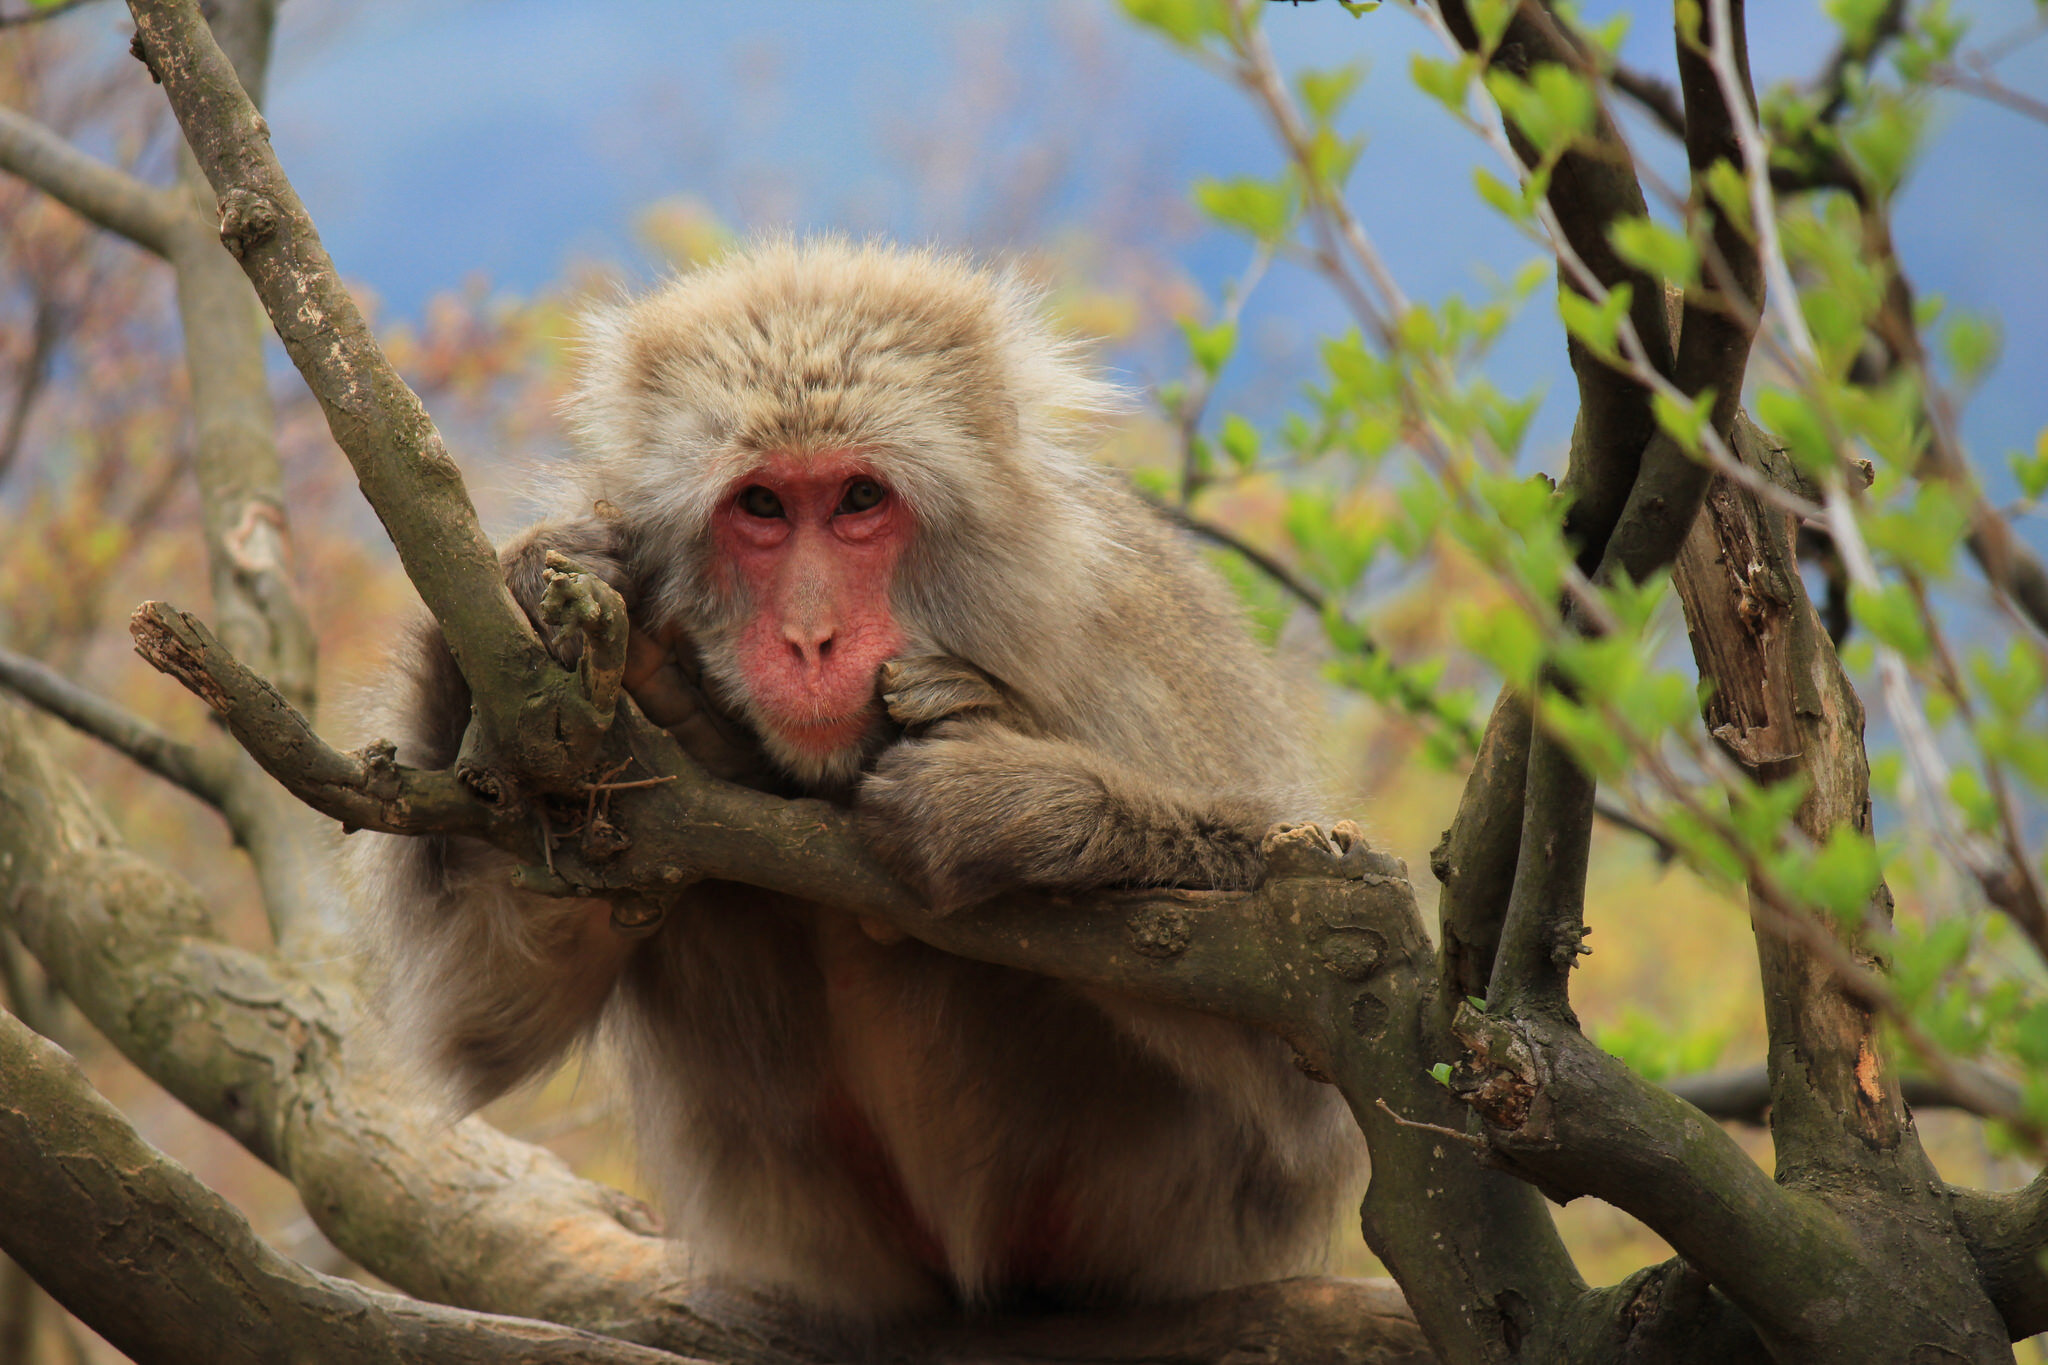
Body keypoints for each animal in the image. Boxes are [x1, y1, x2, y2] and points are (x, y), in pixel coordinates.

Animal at [345, 238, 1364, 1325]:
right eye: (761, 505)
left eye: (859, 501)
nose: (809, 638)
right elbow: (481, 1016)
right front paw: (537, 583)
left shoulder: (1120, 647)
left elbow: (1311, 1050)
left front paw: (1004, 811)